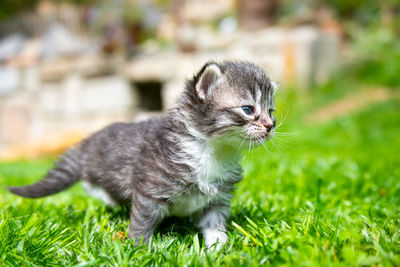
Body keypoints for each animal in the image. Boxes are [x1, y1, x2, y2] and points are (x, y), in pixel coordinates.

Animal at [8, 60, 276, 249]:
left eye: (271, 111)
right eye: (247, 109)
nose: (271, 125)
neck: (213, 150)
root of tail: (89, 143)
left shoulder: (217, 199)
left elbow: (214, 225)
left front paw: (219, 249)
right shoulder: (150, 191)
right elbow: (142, 223)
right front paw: (141, 250)